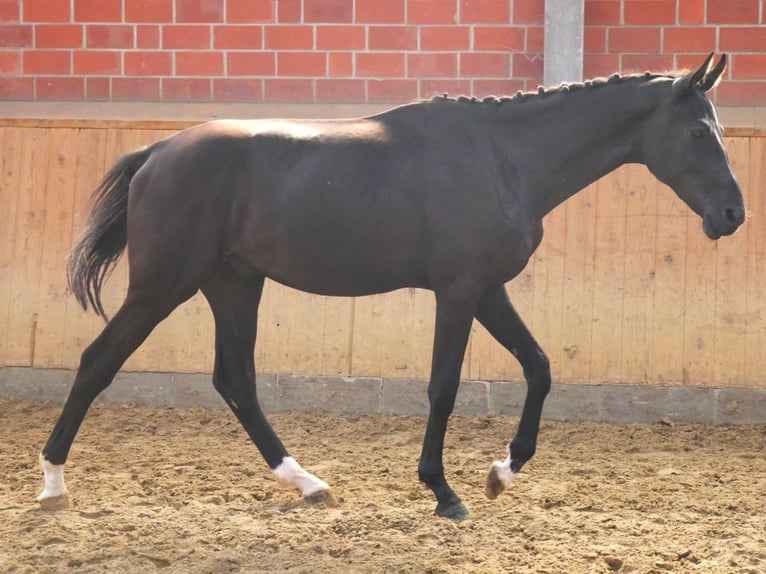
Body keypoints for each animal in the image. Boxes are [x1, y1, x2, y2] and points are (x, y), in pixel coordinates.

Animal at [36, 55, 744, 520]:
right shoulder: (458, 291)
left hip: (233, 284)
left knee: (235, 380)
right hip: (163, 287)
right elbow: (443, 388)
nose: (733, 214)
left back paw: (308, 483)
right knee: (98, 363)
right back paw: (51, 485)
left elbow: (540, 367)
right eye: (698, 130)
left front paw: (502, 472)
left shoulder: (488, 290)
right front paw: (445, 492)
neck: (502, 157)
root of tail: (156, 153)